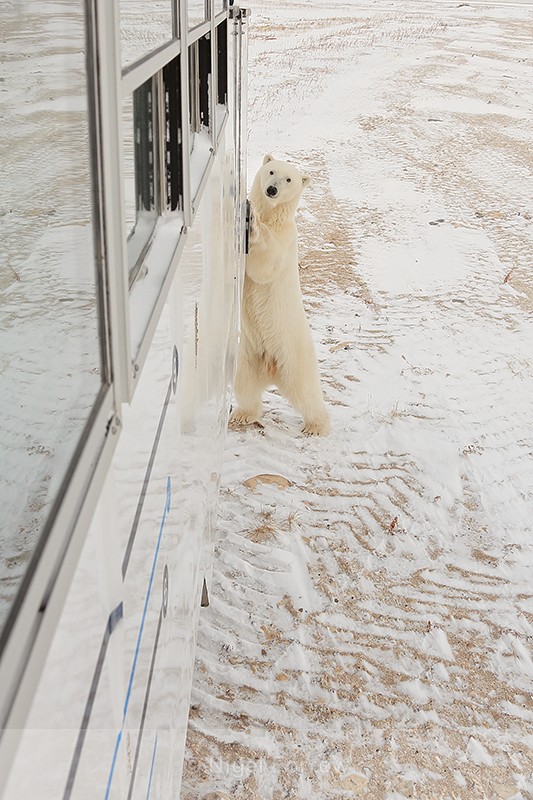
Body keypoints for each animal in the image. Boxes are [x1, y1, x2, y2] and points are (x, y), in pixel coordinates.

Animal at [231, 154, 330, 436]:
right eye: (271, 171)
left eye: (289, 179)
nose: (272, 190)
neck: (273, 214)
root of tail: (271, 368)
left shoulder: (286, 238)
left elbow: (265, 262)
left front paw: (252, 220)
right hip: (248, 354)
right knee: (245, 386)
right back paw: (242, 415)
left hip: (294, 354)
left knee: (306, 391)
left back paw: (316, 426)